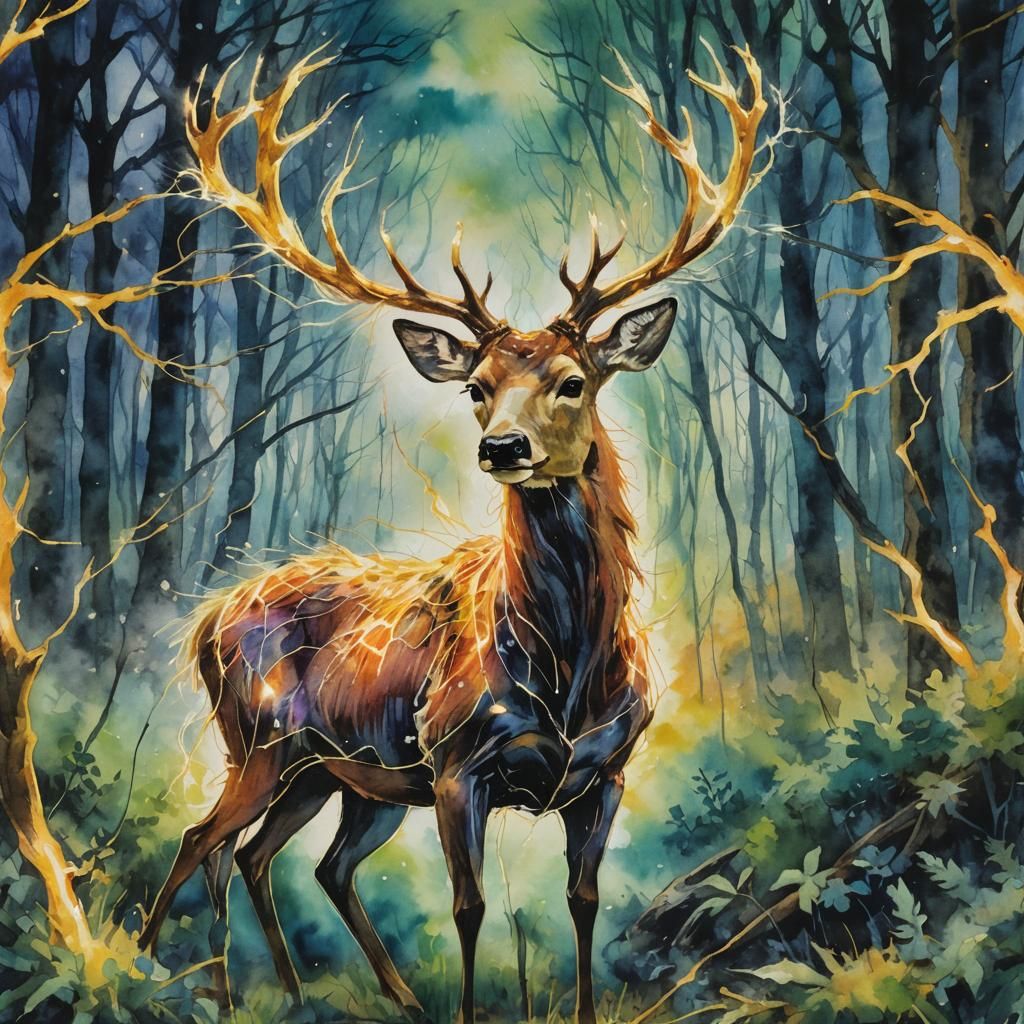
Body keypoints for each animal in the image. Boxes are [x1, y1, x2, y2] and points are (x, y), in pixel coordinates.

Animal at [138, 43, 767, 1024]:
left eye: (573, 380)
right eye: (476, 385)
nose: (502, 446)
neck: (567, 667)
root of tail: (206, 619)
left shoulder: (606, 772)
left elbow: (584, 902)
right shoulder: (455, 761)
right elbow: (469, 909)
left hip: (339, 775)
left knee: (284, 857)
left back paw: (324, 993)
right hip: (262, 739)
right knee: (201, 837)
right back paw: (156, 974)